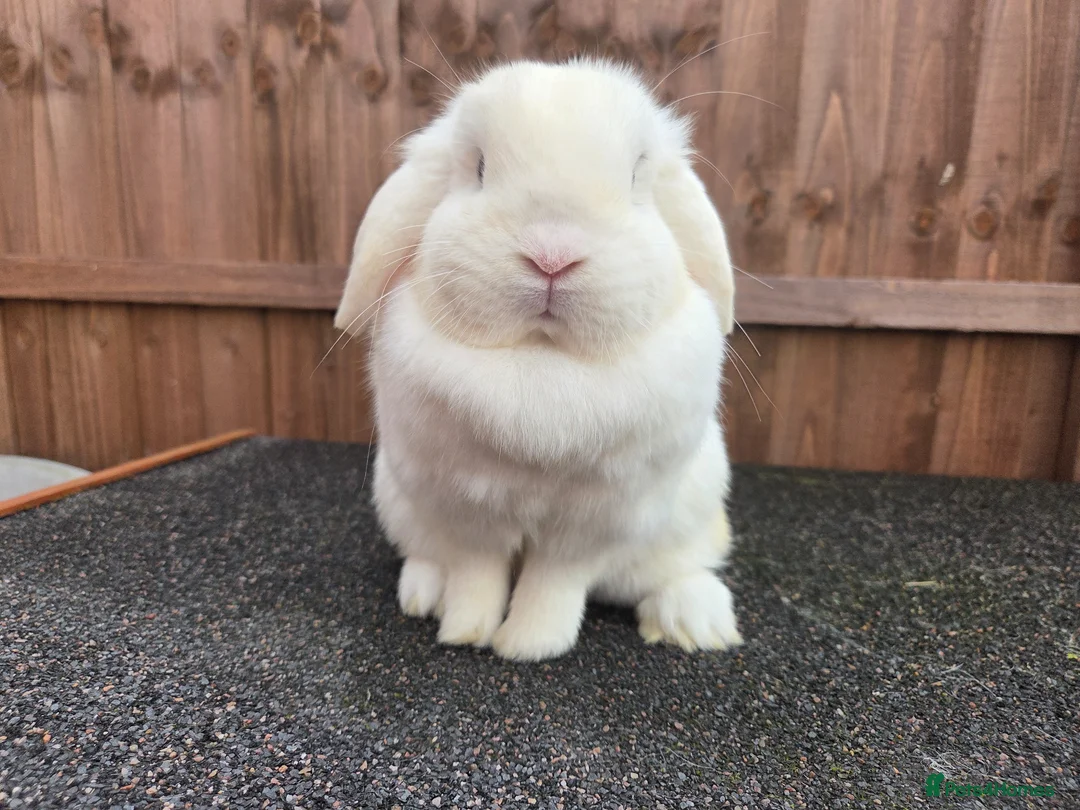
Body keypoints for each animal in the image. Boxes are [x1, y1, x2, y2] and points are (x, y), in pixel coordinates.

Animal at [334, 58, 743, 661]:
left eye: (636, 177)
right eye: (479, 168)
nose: (552, 256)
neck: (541, 360)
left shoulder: (592, 524)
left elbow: (555, 585)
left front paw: (529, 646)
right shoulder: (466, 508)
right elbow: (476, 574)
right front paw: (466, 631)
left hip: (687, 515)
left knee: (676, 571)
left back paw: (697, 623)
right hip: (402, 504)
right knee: (431, 555)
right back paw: (423, 593)